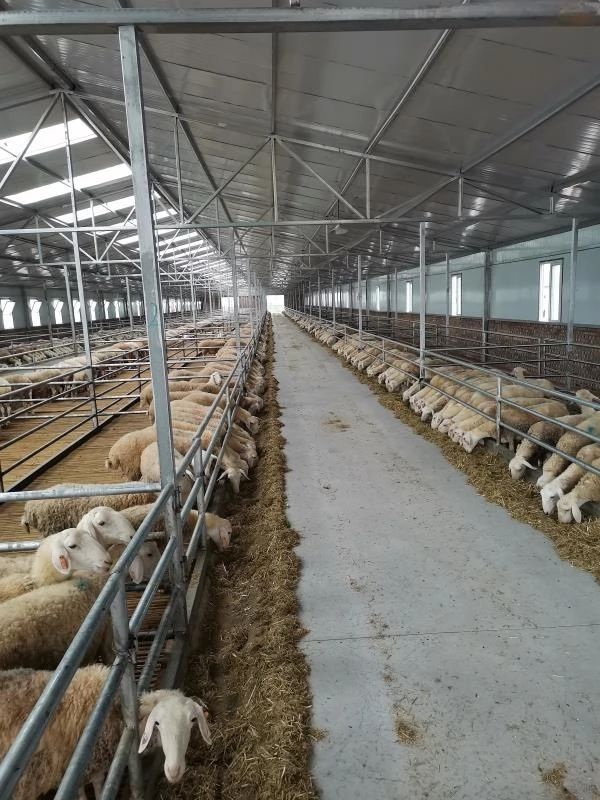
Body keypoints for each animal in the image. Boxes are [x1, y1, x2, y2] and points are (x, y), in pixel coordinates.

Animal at [0, 665, 211, 798]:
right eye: (157, 723)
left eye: (192, 721)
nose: (174, 771)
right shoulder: (78, 771)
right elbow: (86, 792)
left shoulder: (91, 766)